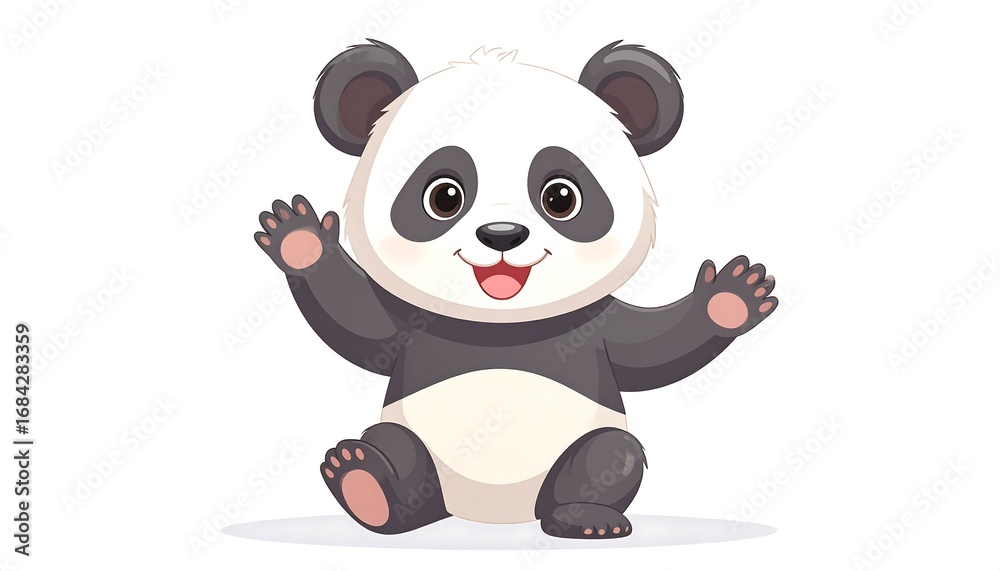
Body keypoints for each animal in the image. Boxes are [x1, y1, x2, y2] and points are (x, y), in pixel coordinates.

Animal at [254, 40, 779, 539]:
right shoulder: (412, 322)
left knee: (609, 456)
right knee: (394, 449)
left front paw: (731, 297)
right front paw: (301, 240)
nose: (502, 234)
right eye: (443, 196)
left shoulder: (595, 324)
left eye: (561, 196)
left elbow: (652, 350)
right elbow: (360, 324)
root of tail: (493, 513)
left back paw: (584, 519)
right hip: (414, 445)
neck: (502, 324)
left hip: (578, 452)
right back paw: (368, 484)